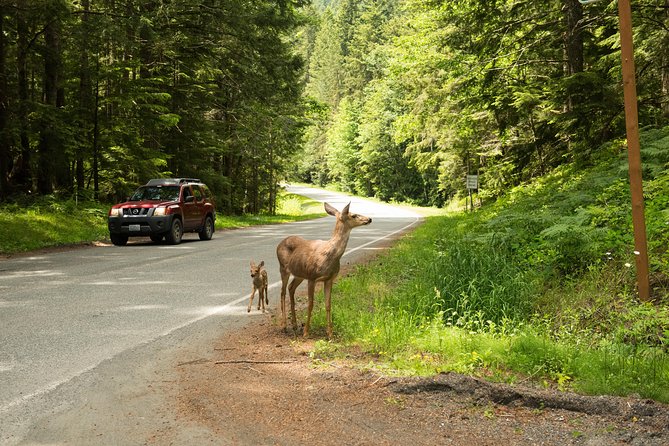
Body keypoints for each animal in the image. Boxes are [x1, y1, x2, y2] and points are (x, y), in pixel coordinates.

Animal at [276, 202, 370, 338]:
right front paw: (306, 332)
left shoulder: (329, 279)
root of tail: (279, 244)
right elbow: (310, 304)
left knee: (291, 288)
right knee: (282, 292)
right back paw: (284, 326)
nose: (369, 219)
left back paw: (294, 325)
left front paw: (330, 333)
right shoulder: (312, 277)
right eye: (353, 215)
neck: (329, 256)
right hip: (283, 268)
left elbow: (328, 304)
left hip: (299, 274)